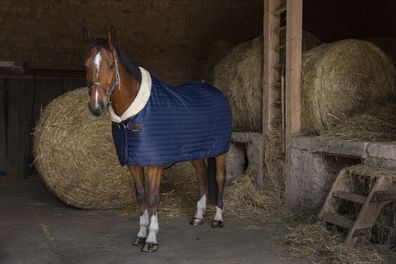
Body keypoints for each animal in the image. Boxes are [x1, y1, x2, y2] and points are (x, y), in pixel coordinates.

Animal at [83, 27, 232, 254]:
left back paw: (218, 219)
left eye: (111, 64)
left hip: (220, 151)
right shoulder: (134, 163)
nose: (96, 106)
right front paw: (140, 235)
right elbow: (141, 196)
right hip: (196, 153)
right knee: (202, 179)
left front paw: (151, 239)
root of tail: (216, 91)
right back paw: (198, 217)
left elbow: (153, 198)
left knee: (220, 179)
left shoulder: (154, 165)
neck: (134, 116)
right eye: (86, 64)